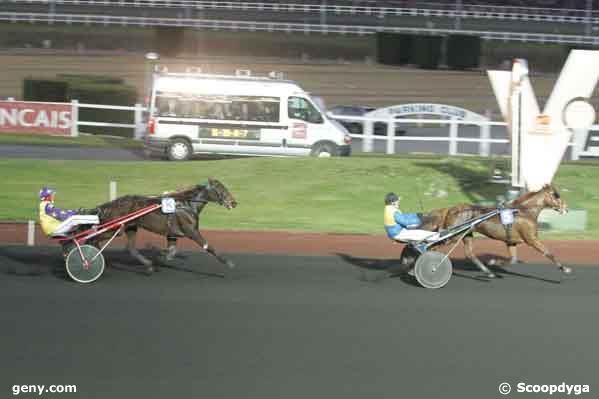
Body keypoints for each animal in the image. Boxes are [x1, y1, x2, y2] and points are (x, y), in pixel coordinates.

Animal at [90, 179, 238, 276]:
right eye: (220, 189)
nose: (234, 203)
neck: (187, 205)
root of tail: (110, 205)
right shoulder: (191, 231)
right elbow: (209, 247)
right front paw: (229, 262)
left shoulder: (172, 233)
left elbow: (171, 252)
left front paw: (160, 255)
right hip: (113, 229)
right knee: (94, 239)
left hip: (131, 227)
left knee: (130, 248)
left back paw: (149, 266)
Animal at [420, 184, 576, 278]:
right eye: (556, 195)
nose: (566, 208)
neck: (524, 212)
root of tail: (451, 209)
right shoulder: (531, 239)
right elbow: (548, 253)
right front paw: (565, 268)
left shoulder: (511, 242)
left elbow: (513, 259)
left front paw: (494, 262)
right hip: (454, 236)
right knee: (433, 246)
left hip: (467, 234)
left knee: (469, 254)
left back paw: (488, 272)